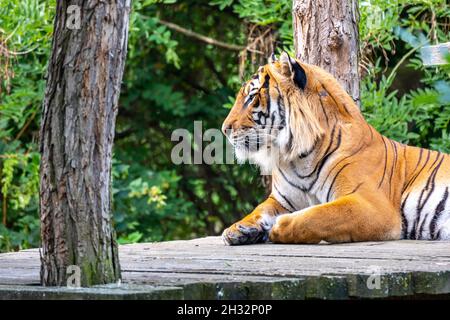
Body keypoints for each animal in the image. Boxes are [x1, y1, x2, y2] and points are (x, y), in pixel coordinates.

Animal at [221, 52, 450, 245]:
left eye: (252, 98)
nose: (224, 129)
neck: (297, 159)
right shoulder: (281, 199)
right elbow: (259, 209)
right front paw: (237, 229)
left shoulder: (371, 205)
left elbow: (319, 216)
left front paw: (278, 227)